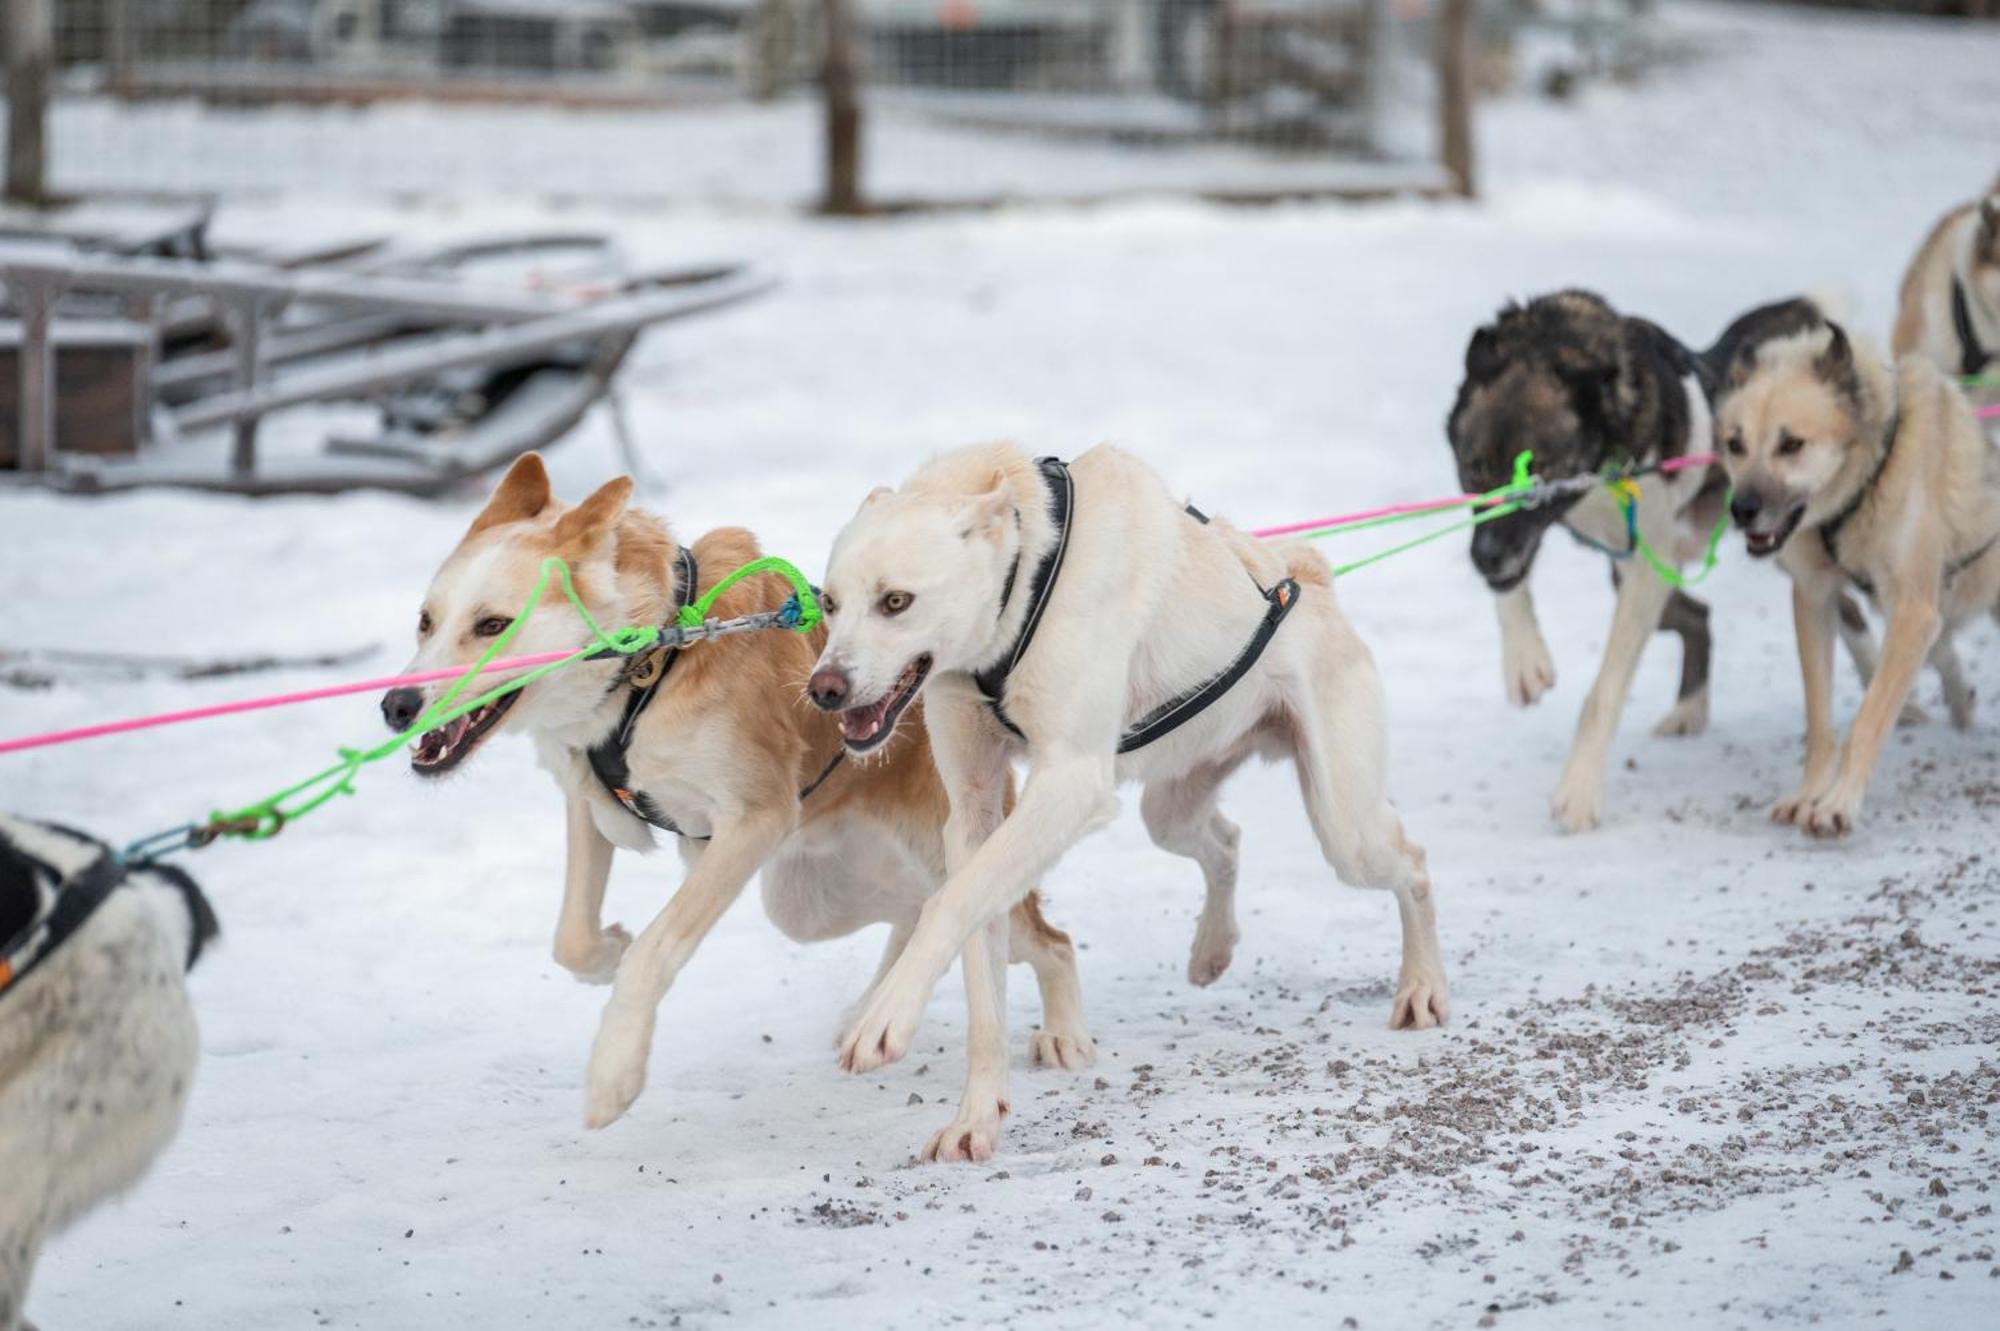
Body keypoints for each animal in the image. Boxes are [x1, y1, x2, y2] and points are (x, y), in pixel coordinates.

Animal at [386, 451, 1112, 1159]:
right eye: (425, 620)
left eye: (492, 625)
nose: (396, 705)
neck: (654, 661)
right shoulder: (588, 799)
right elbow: (572, 937)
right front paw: (606, 953)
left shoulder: (753, 821)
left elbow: (655, 950)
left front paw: (613, 1073)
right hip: (812, 898)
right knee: (914, 913)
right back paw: (873, 1005)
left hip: (934, 862)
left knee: (1043, 939)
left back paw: (1061, 1033)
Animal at [804, 439, 1448, 1159]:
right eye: (830, 603)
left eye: (896, 600)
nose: (823, 688)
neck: (1028, 572)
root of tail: (1307, 576)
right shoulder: (972, 814)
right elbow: (980, 969)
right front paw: (976, 1115)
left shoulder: (1070, 782)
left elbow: (951, 901)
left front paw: (884, 1018)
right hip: (1169, 810)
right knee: (1225, 842)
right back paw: (1212, 947)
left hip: (1346, 830)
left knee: (1413, 864)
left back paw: (1423, 985)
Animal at [1704, 299, 2000, 835]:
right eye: (1736, 444)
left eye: (1791, 444)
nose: (1742, 510)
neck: (1866, 481)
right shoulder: (1816, 599)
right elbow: (1820, 723)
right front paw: (1809, 794)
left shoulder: (1911, 613)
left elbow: (1868, 718)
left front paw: (1839, 802)